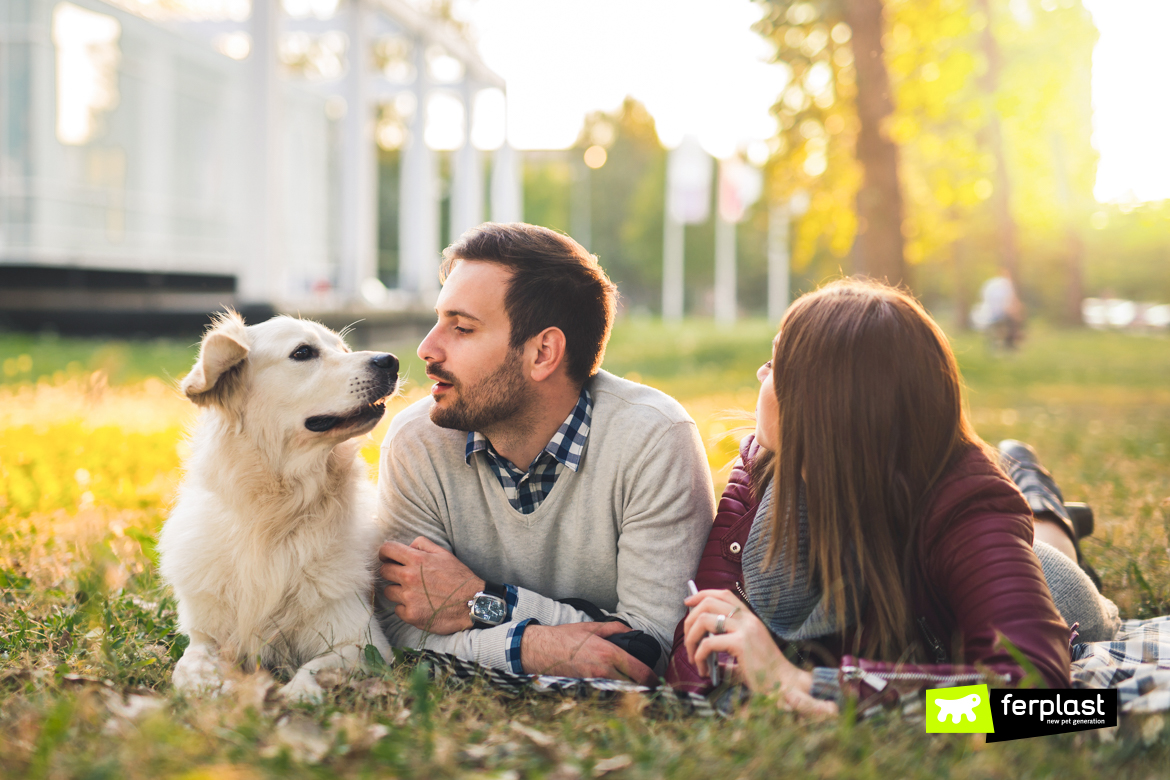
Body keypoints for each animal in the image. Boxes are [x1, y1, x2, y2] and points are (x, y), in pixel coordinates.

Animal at [160, 311, 397, 701]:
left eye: (344, 348)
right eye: (303, 352)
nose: (390, 361)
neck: (275, 515)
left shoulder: (362, 641)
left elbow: (313, 669)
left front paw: (296, 694)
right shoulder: (205, 634)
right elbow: (189, 664)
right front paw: (207, 685)